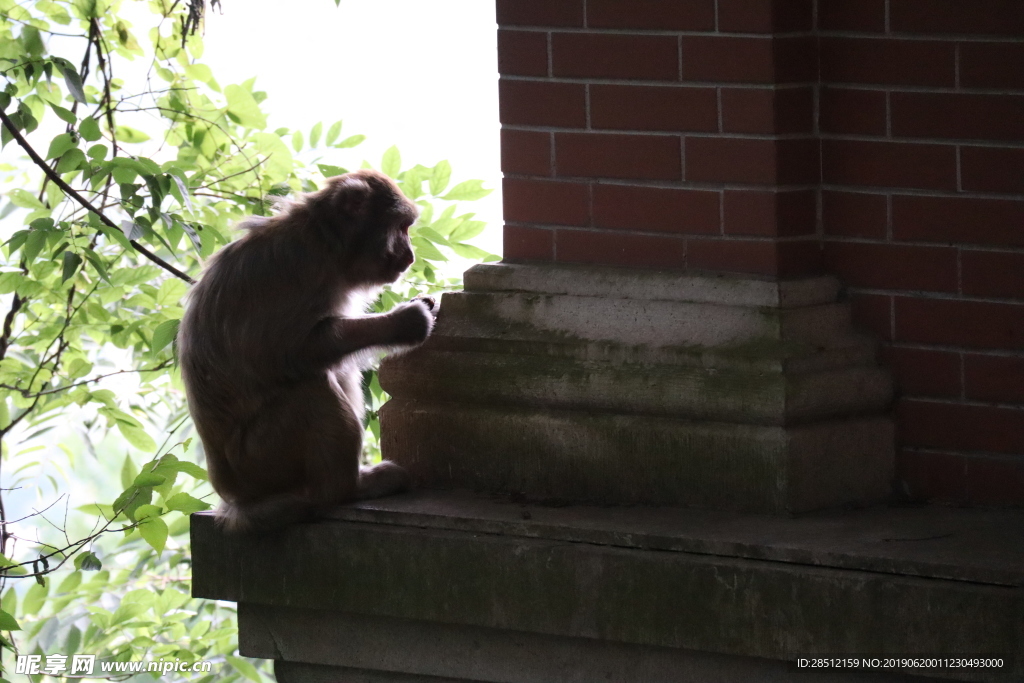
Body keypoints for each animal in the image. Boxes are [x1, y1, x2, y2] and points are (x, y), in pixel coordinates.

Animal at [178, 171, 434, 532]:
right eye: (401, 227)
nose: (409, 256)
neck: (326, 242)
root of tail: (235, 498)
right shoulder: (298, 265)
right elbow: (289, 352)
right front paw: (406, 322)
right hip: (262, 459)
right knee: (311, 387)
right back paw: (348, 488)